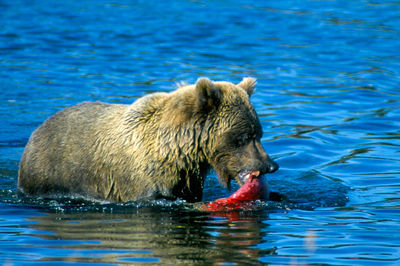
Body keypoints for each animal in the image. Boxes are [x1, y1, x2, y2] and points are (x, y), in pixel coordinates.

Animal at [18, 78, 278, 203]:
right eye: (244, 136)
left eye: (259, 133)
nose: (270, 165)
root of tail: (37, 130)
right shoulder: (139, 183)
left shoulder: (188, 179)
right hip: (49, 171)